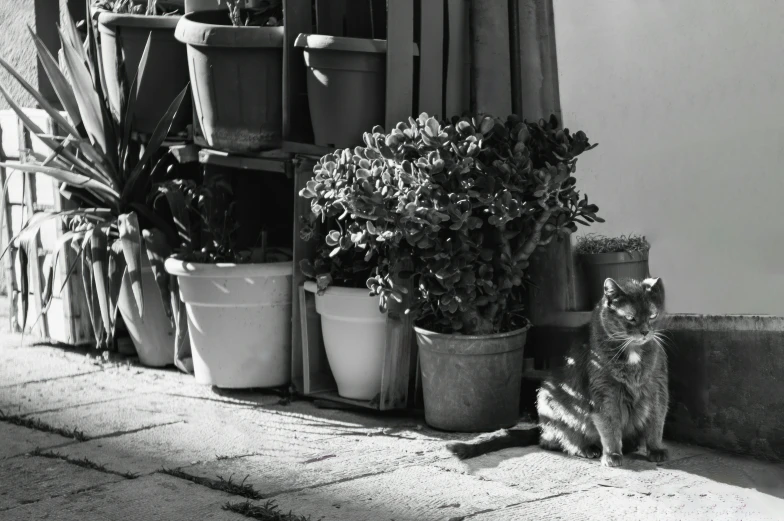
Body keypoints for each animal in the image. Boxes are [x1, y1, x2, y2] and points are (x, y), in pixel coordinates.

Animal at [448, 276, 668, 468]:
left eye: (653, 315)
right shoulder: (605, 391)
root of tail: (540, 426)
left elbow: (657, 420)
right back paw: (588, 448)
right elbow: (609, 424)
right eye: (630, 318)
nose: (645, 331)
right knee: (553, 441)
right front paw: (612, 454)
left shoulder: (658, 387)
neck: (633, 354)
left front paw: (655, 449)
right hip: (550, 398)